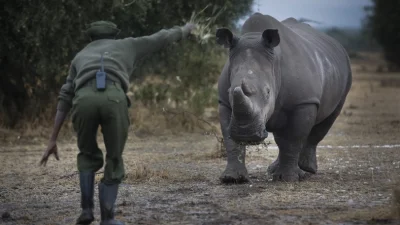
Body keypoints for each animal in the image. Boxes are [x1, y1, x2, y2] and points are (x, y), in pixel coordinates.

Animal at [217, 13, 352, 183]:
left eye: (268, 92)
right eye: (230, 91)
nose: (246, 134)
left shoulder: (304, 102)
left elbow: (294, 138)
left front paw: (288, 178)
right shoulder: (225, 102)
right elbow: (230, 140)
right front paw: (232, 178)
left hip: (344, 74)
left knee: (326, 120)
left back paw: (306, 169)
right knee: (282, 136)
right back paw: (276, 170)